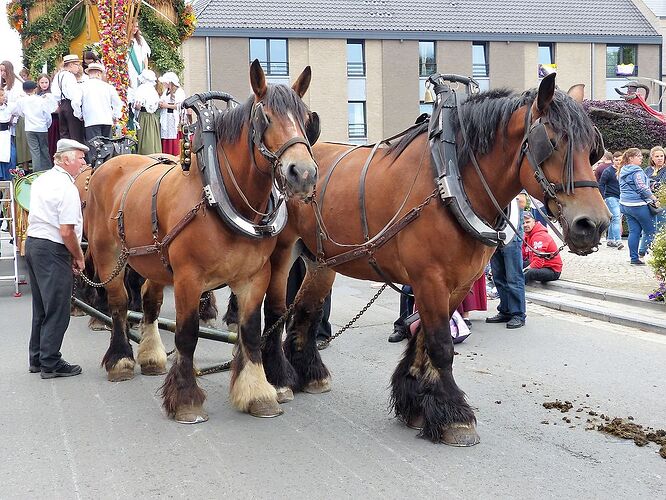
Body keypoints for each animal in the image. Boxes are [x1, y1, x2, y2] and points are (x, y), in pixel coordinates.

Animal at [85, 60, 316, 424]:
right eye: (264, 117)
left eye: (306, 118)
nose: (303, 173)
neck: (220, 196)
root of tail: (109, 163)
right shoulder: (189, 278)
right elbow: (187, 334)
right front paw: (186, 399)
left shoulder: (255, 277)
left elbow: (251, 331)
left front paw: (258, 393)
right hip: (108, 255)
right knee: (120, 303)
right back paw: (121, 360)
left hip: (154, 261)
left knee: (149, 303)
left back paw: (151, 357)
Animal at [258, 73, 608, 446]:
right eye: (552, 143)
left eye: (592, 148)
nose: (594, 224)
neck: (451, 180)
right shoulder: (429, 279)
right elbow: (441, 345)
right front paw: (454, 416)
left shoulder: (458, 282)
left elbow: (425, 338)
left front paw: (415, 401)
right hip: (281, 255)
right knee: (275, 310)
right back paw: (277, 381)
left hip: (321, 262)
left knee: (304, 312)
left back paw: (310, 374)